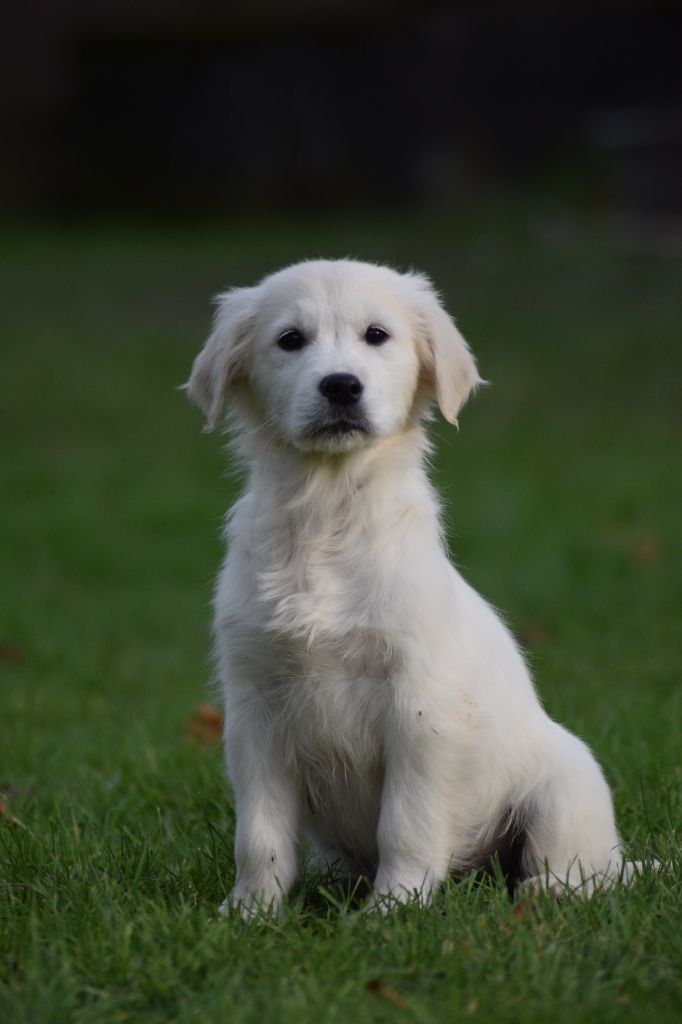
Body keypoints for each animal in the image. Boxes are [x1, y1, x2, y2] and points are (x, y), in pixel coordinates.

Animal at [184, 260, 643, 917]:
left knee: (581, 872)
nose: (341, 386)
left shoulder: (419, 709)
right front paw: (250, 912)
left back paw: (541, 892)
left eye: (377, 335)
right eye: (290, 339)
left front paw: (394, 908)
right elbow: (261, 835)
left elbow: (405, 823)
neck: (327, 513)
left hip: (567, 786)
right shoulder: (255, 708)